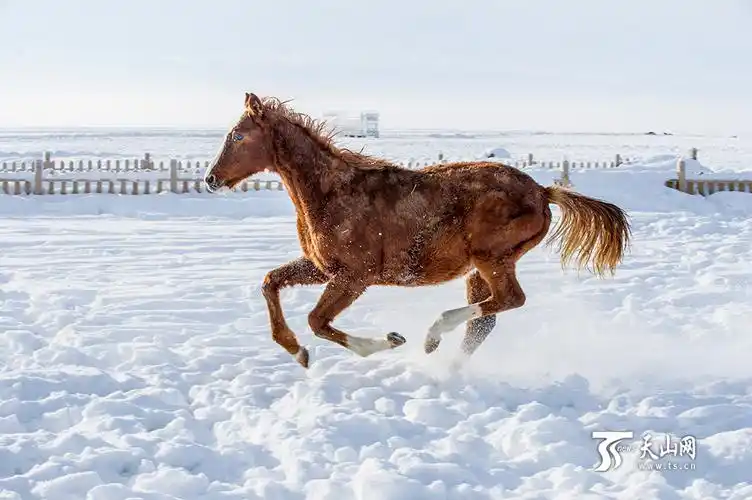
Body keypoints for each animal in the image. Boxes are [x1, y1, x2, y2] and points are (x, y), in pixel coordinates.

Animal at [203, 92, 631, 369]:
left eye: (237, 135)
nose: (210, 179)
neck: (331, 192)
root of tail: (543, 192)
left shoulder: (354, 277)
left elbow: (317, 321)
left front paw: (388, 342)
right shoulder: (322, 268)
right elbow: (270, 283)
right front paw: (297, 351)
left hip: (493, 258)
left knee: (510, 300)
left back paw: (432, 336)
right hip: (478, 270)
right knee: (485, 319)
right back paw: (448, 368)